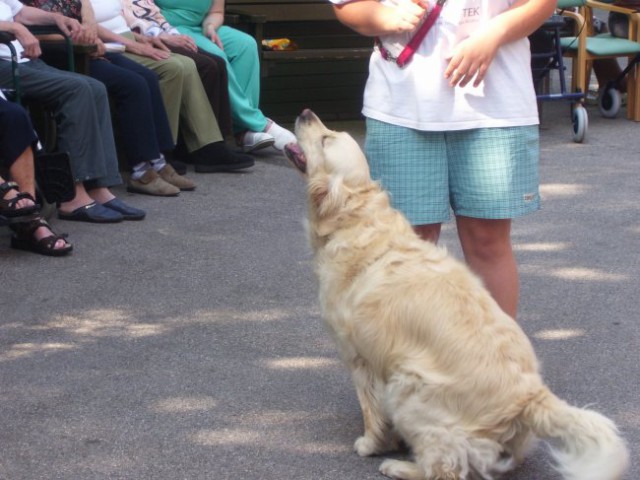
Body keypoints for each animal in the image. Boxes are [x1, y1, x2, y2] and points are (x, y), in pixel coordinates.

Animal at [284, 109, 632, 480]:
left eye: (326, 139)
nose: (306, 112)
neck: (357, 220)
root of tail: (529, 396)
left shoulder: (358, 357)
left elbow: (370, 409)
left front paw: (370, 444)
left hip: (407, 386)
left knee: (443, 467)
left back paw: (398, 466)